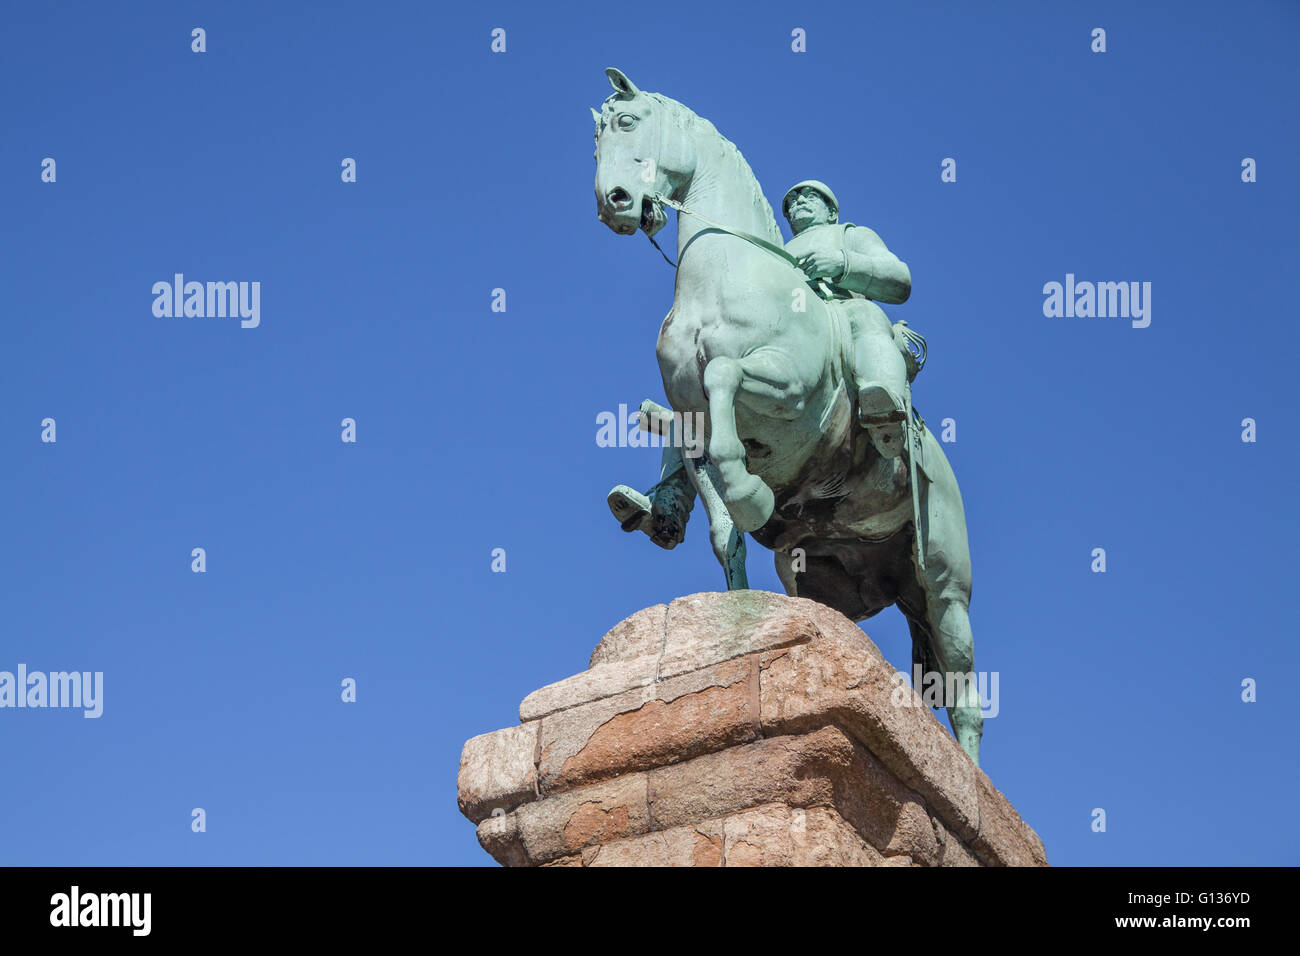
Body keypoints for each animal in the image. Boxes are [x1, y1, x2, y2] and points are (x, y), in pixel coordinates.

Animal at [595, 67, 977, 764]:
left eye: (629, 124)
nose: (614, 201)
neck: (723, 277)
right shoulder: (690, 427)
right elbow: (720, 523)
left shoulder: (792, 389)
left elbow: (725, 376)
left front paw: (751, 493)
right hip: (825, 570)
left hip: (944, 588)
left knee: (965, 695)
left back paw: (969, 772)